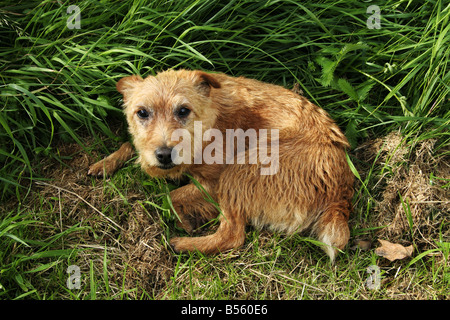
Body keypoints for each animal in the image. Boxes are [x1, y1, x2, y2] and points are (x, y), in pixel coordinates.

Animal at [89, 69, 356, 262]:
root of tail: (340, 195)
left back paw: (184, 245)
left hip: (241, 169)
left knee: (233, 235)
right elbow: (131, 144)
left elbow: (171, 196)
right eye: (142, 113)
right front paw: (105, 163)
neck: (211, 121)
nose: (164, 154)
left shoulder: (214, 183)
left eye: (183, 110)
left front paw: (184, 219)